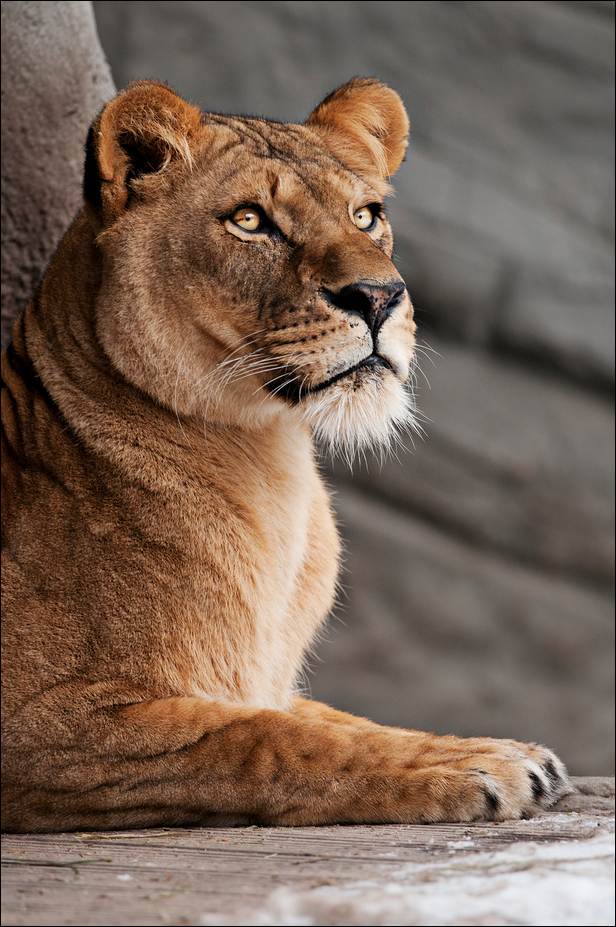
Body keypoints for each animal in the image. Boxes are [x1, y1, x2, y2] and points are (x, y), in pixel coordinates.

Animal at [1, 79, 570, 832]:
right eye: (250, 220)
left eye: (366, 216)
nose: (380, 297)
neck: (268, 459)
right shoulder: (39, 720)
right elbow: (264, 738)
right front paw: (474, 768)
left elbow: (341, 720)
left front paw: (486, 748)